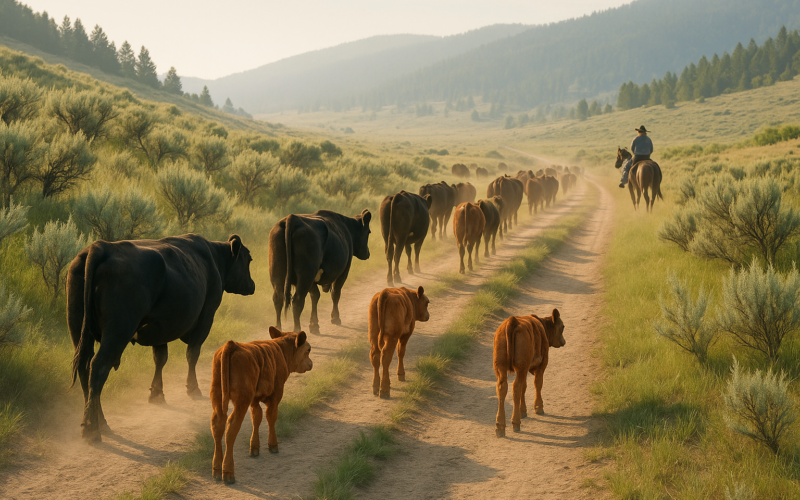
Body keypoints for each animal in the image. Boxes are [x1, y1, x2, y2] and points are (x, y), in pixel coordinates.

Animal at [66, 234, 256, 441]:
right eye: (248, 259)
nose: (252, 285)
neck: (215, 258)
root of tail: (102, 246)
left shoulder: (161, 327)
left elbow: (160, 358)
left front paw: (156, 394)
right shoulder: (205, 318)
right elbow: (192, 354)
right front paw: (193, 388)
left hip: (79, 330)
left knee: (85, 368)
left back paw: (100, 423)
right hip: (118, 330)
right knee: (98, 367)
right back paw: (92, 428)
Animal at [210, 327, 313, 484]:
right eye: (308, 349)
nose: (311, 363)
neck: (281, 350)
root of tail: (232, 345)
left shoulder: (254, 399)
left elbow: (256, 417)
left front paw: (254, 447)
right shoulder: (276, 394)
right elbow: (271, 417)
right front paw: (273, 445)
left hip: (217, 396)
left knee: (218, 425)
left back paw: (216, 469)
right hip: (242, 400)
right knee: (231, 428)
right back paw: (228, 472)